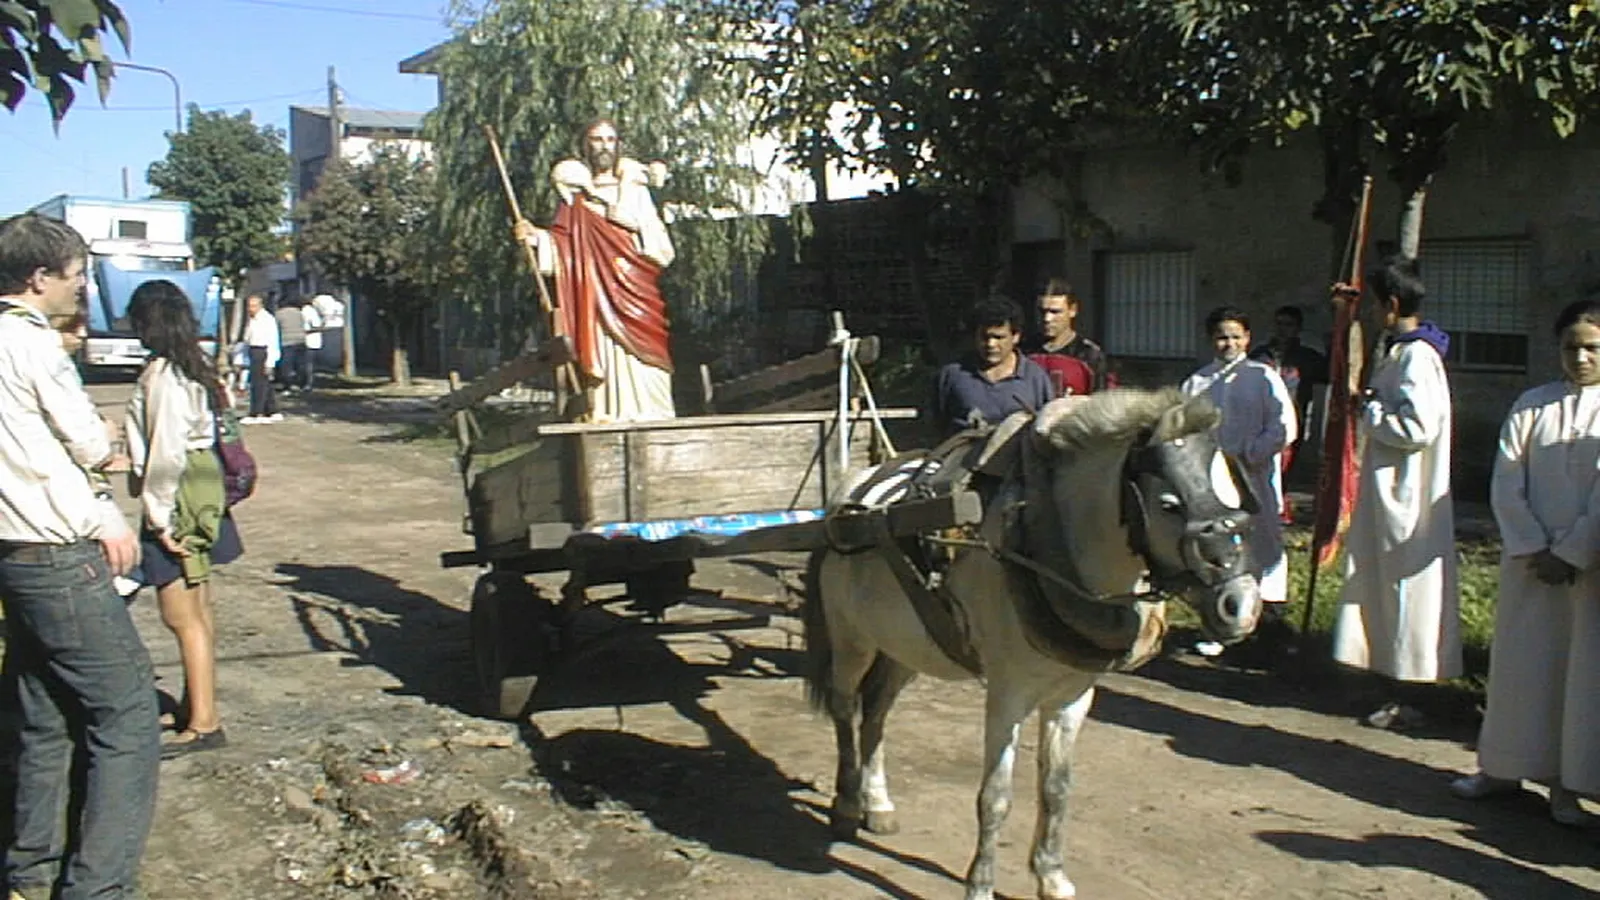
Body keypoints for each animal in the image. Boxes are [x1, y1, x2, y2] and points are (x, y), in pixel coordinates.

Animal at [804, 387, 1262, 900]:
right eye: (1168, 504)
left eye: (1234, 497)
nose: (1240, 605)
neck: (1045, 539)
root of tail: (848, 495)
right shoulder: (1009, 694)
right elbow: (996, 796)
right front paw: (980, 885)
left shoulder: (1073, 695)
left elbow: (1056, 788)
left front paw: (1052, 876)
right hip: (852, 639)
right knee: (846, 709)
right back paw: (846, 804)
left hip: (906, 645)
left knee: (876, 714)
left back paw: (878, 804)